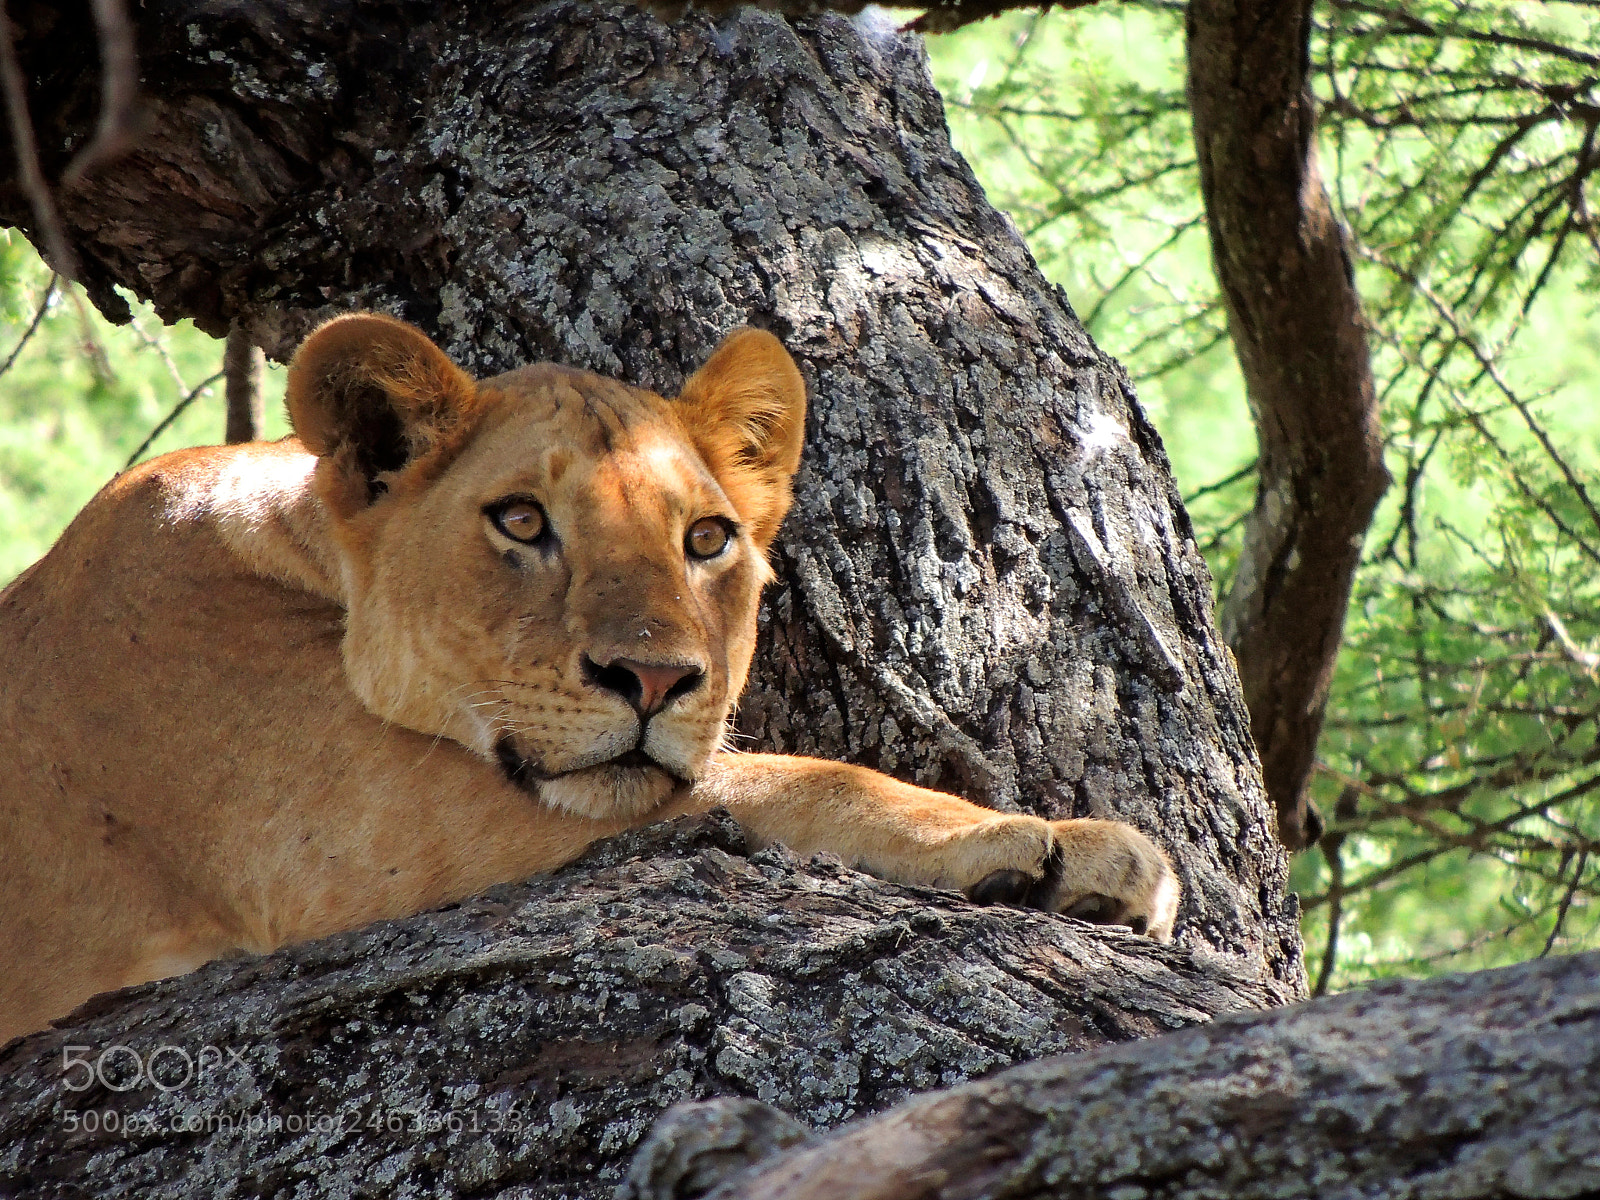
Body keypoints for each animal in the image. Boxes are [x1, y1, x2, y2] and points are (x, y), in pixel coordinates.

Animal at [0, 314, 1178, 1042]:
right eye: (522, 522)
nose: (653, 679)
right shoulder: (355, 838)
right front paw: (1056, 843)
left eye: (706, 539)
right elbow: (795, 778)